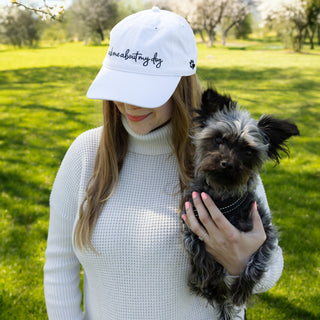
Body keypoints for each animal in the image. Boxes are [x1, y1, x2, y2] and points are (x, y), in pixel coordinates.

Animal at [182, 87, 300, 320]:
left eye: (248, 151)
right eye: (219, 139)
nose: (227, 164)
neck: (223, 199)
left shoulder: (265, 234)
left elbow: (255, 263)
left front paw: (241, 290)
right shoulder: (192, 225)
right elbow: (199, 254)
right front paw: (208, 284)